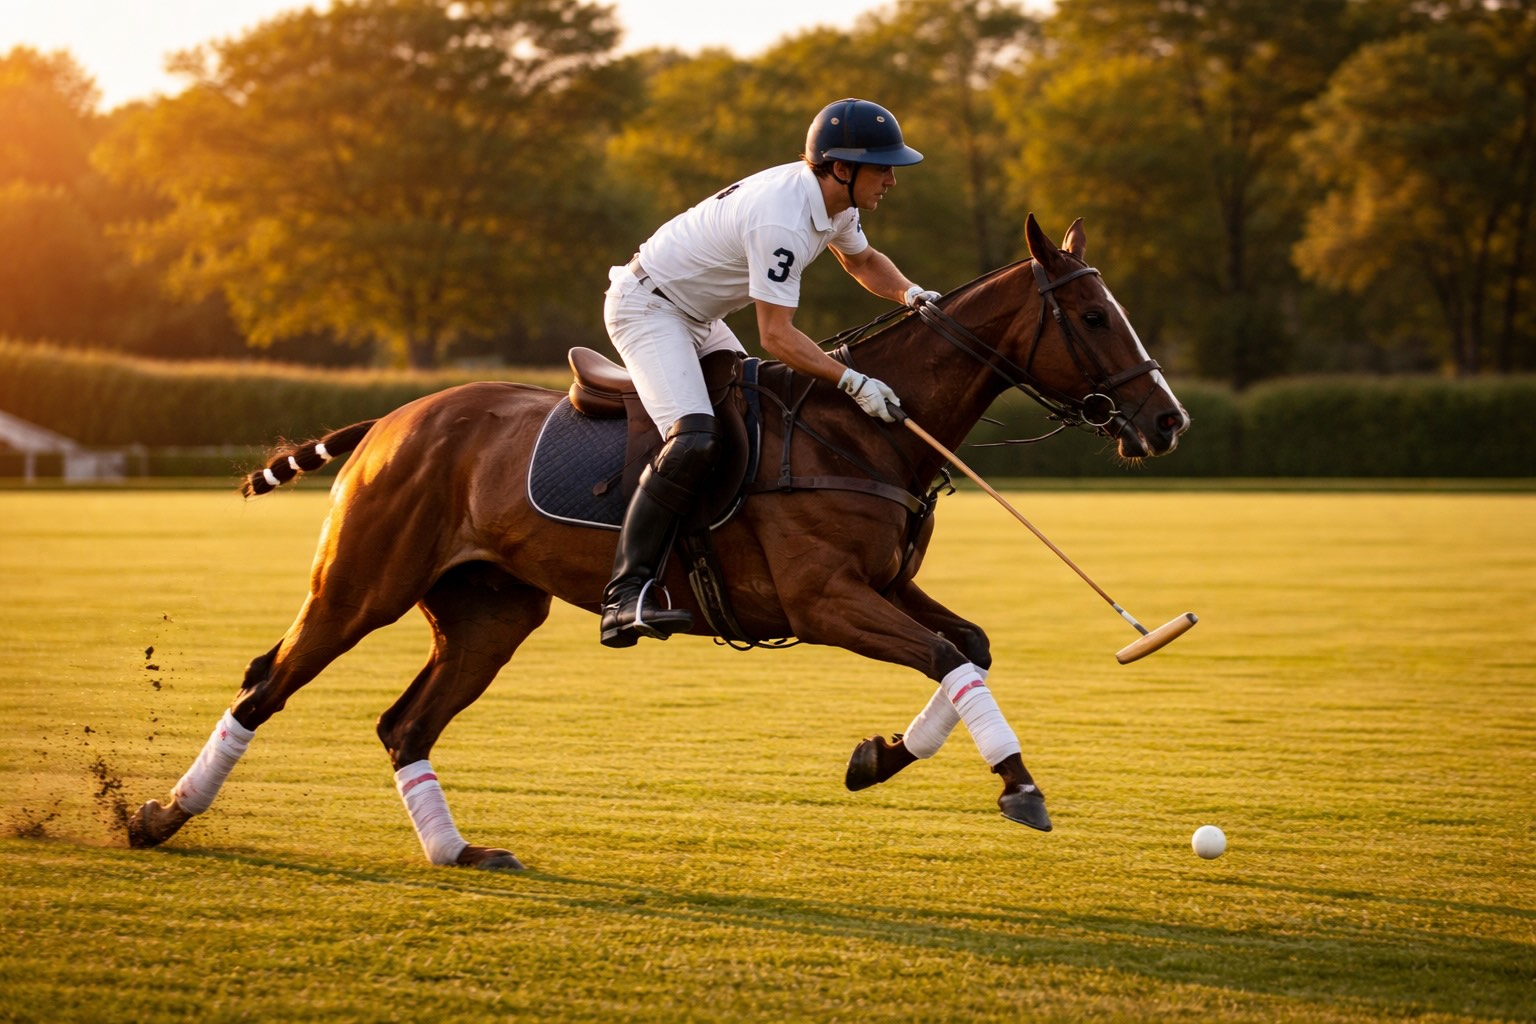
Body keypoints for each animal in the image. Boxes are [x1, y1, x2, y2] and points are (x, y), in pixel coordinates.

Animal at [128, 214, 1190, 869]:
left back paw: (461, 852)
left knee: (404, 725)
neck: (861, 430)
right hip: (360, 585)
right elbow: (945, 656)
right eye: (1093, 315)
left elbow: (966, 647)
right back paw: (157, 816)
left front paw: (877, 757)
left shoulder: (882, 584)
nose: (1167, 423)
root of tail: (389, 421)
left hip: (489, 611)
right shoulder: (823, 600)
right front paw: (1020, 786)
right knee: (265, 684)